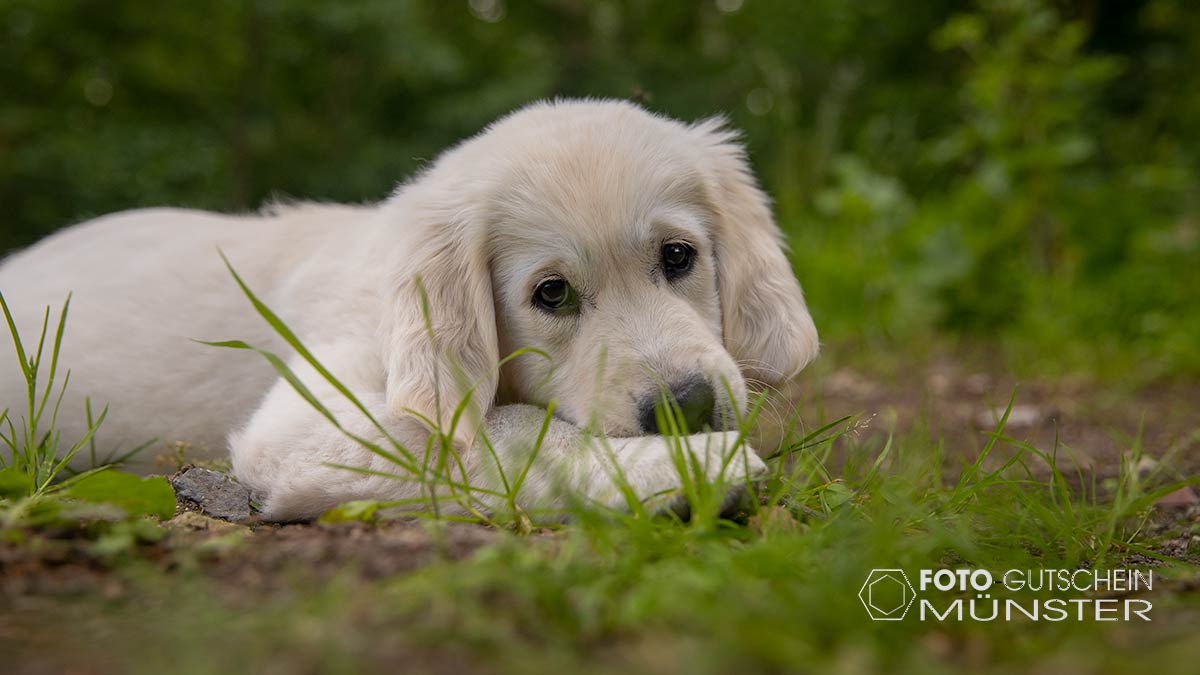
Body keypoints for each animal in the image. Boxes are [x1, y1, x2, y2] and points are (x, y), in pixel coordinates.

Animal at [0, 99, 816, 516]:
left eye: (677, 257)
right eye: (550, 293)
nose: (688, 408)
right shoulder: (307, 426)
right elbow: (510, 428)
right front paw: (695, 465)